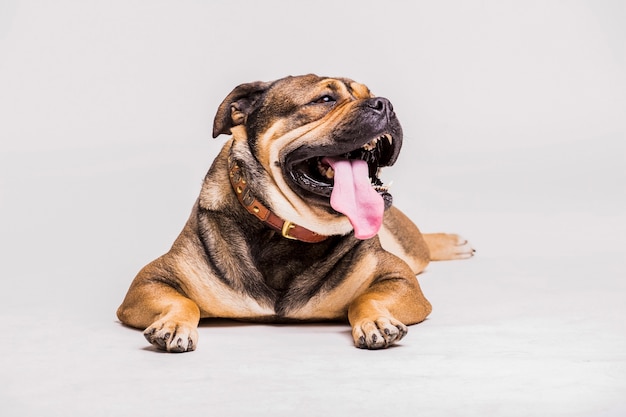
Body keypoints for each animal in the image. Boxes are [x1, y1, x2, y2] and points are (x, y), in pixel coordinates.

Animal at [116, 73, 472, 350]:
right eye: (325, 99)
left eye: (371, 94)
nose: (384, 103)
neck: (288, 228)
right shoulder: (149, 281)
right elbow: (182, 300)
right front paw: (173, 325)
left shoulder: (400, 278)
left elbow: (366, 297)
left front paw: (376, 322)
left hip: (409, 250)